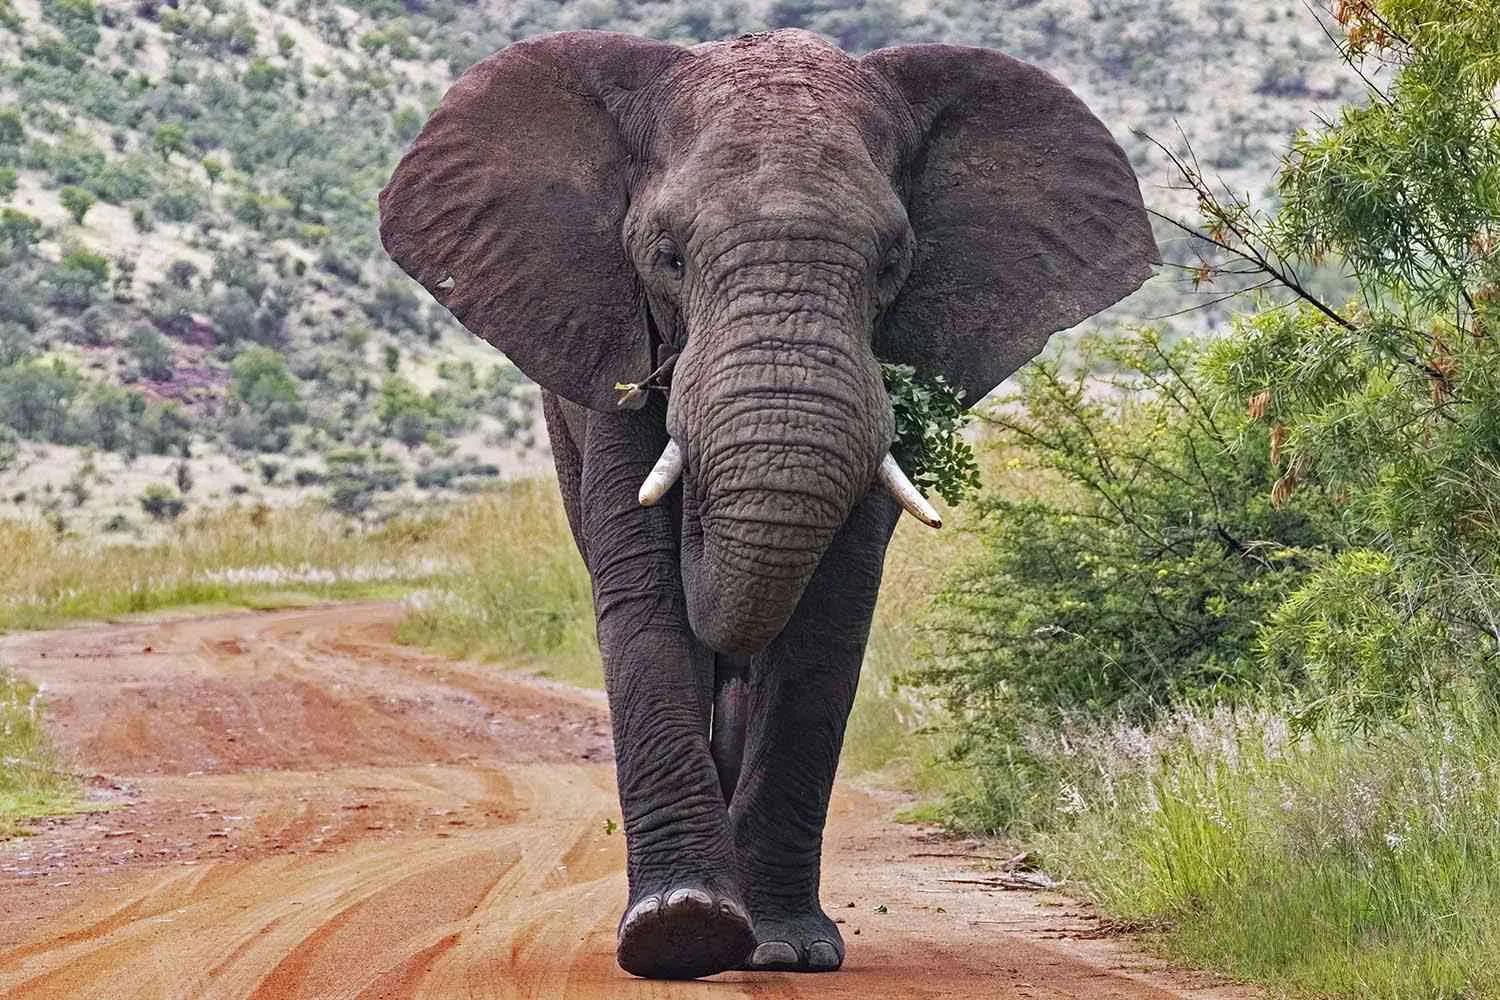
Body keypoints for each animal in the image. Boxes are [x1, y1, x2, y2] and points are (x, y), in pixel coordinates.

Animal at [379, 28, 1155, 980]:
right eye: (667, 257)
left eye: (892, 265)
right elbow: (644, 594)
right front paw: (681, 931)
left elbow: (827, 614)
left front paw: (783, 949)